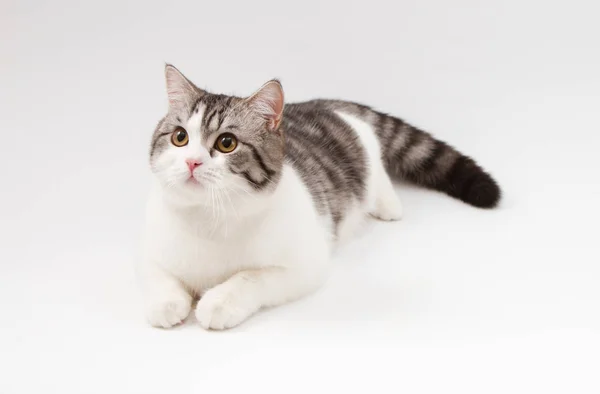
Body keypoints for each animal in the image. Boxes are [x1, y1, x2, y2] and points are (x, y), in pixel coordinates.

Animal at [137, 63, 502, 330]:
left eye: (227, 143)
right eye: (180, 137)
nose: (191, 161)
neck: (207, 218)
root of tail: (322, 104)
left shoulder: (305, 265)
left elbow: (250, 277)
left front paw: (219, 301)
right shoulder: (153, 247)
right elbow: (158, 274)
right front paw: (167, 301)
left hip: (366, 152)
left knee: (377, 167)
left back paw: (387, 204)